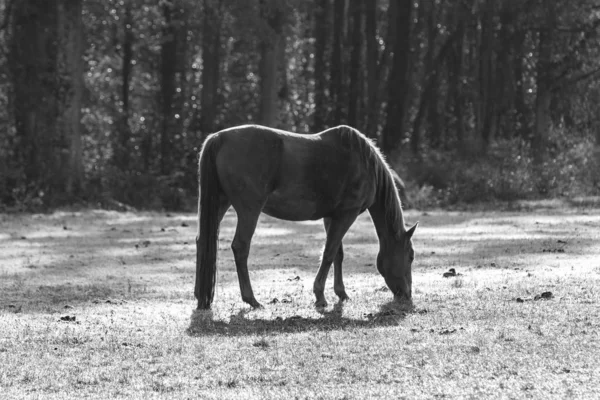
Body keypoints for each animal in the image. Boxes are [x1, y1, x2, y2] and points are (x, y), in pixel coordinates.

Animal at [193, 124, 418, 310]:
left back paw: (200, 296)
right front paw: (320, 296)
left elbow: (338, 254)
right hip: (249, 210)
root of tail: (219, 138)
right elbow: (328, 253)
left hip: (221, 203)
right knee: (240, 247)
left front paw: (341, 293)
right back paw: (252, 300)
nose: (407, 295)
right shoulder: (347, 214)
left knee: (203, 240)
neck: (364, 163)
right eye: (411, 256)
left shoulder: (332, 216)